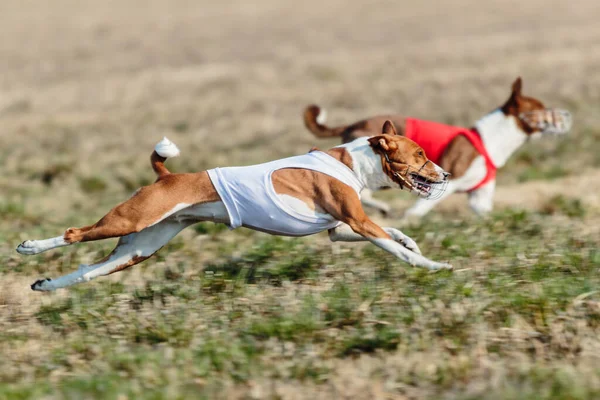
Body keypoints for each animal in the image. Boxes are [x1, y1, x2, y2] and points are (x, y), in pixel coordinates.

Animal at [16, 119, 450, 290]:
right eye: (420, 154)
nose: (446, 175)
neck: (352, 163)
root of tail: (167, 177)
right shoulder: (357, 224)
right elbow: (397, 249)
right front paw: (434, 265)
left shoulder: (340, 229)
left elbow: (394, 232)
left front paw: (413, 241)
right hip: (129, 221)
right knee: (74, 234)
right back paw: (29, 247)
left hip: (140, 246)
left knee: (88, 271)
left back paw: (47, 285)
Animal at [304, 76, 572, 217]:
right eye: (541, 108)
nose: (567, 115)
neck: (490, 140)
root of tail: (353, 124)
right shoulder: (448, 182)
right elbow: (418, 210)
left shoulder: (479, 199)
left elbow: (486, 215)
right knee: (367, 194)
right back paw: (384, 208)